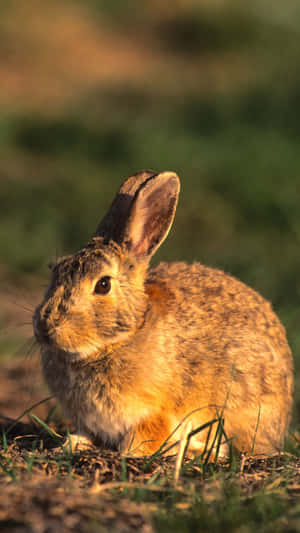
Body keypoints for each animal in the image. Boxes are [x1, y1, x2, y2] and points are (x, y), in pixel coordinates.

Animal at [32, 171, 292, 458]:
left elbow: (145, 435)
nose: (45, 327)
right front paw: (71, 444)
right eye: (55, 271)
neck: (119, 339)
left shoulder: (156, 412)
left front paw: (132, 453)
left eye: (103, 284)